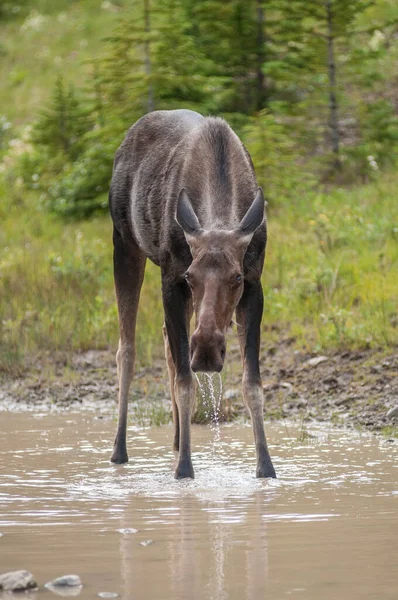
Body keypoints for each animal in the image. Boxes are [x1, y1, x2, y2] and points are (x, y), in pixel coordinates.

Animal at [109, 110, 276, 480]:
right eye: (191, 275)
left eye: (237, 277)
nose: (207, 350)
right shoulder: (172, 279)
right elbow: (186, 382)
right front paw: (185, 468)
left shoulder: (255, 285)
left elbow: (252, 383)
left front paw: (266, 467)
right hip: (124, 244)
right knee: (127, 349)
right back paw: (119, 450)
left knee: (167, 346)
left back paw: (174, 440)